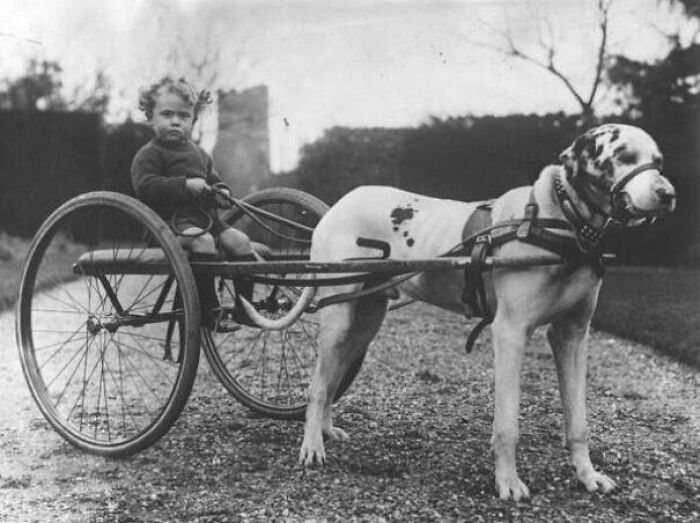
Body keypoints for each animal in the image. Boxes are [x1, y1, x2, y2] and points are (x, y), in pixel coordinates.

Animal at [253, 122, 680, 500]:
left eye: (658, 161)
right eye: (623, 156)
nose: (668, 194)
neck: (558, 219)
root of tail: (340, 203)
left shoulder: (572, 336)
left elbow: (579, 422)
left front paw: (587, 476)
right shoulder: (510, 333)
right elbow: (507, 425)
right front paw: (507, 482)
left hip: (365, 321)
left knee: (332, 377)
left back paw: (326, 430)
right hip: (339, 318)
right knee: (317, 384)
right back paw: (312, 444)